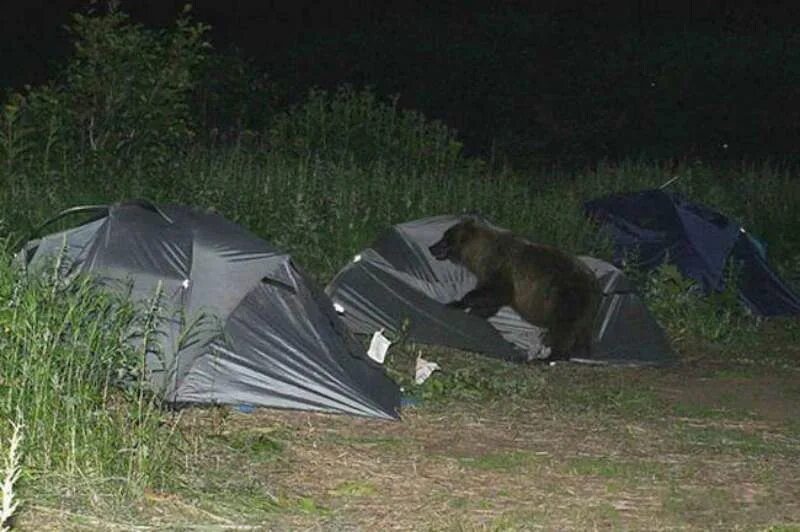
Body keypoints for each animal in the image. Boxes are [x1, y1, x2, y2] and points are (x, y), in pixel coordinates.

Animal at [432, 217, 600, 362]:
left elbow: (495, 293)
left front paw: (457, 303)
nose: (431, 248)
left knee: (563, 328)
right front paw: (475, 313)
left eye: (445, 238)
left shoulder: (501, 267)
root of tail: (593, 282)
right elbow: (492, 301)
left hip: (565, 297)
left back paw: (549, 357)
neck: (481, 253)